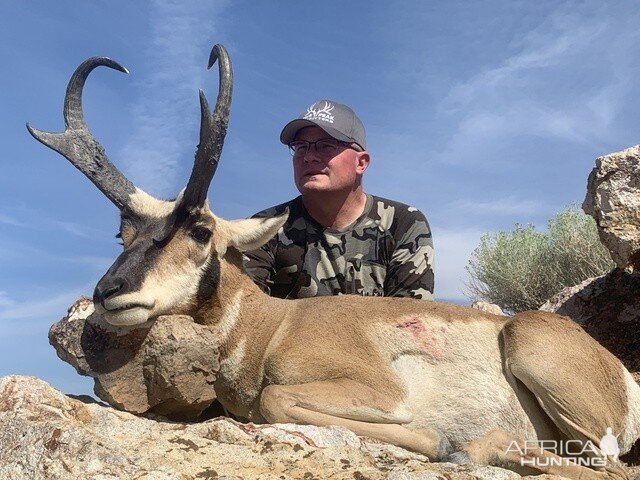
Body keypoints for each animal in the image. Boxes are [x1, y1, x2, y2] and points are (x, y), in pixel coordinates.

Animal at [27, 44, 640, 476]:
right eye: (123, 233)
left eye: (200, 230)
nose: (110, 293)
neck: (273, 327)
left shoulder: (375, 391)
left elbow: (275, 399)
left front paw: (434, 439)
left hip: (533, 351)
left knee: (602, 466)